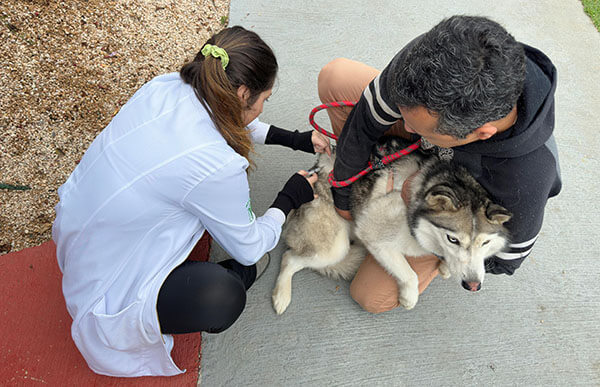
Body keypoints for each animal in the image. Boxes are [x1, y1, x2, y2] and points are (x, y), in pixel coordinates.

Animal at [272, 137, 510, 316]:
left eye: (485, 243)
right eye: (453, 239)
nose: (473, 285)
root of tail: (317, 167)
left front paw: (445, 267)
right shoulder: (373, 234)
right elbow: (409, 274)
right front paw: (409, 296)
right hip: (335, 247)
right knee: (289, 258)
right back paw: (281, 296)